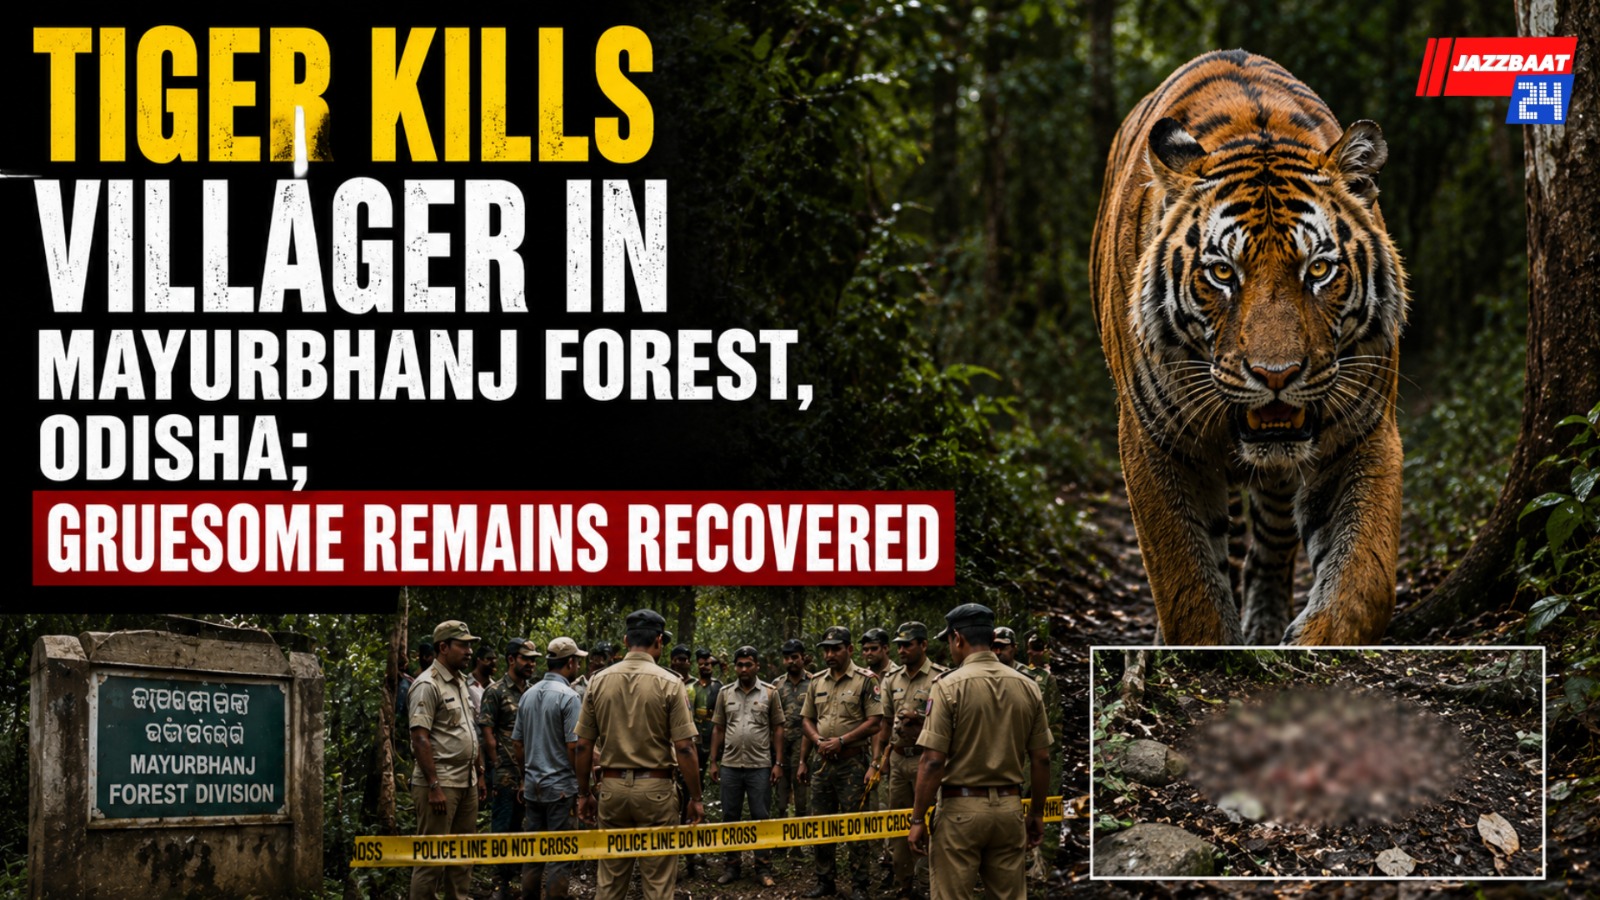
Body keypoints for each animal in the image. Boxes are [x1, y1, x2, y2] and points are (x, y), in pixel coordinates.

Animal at [1089, 49, 1407, 645]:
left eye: (1319, 270)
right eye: (1222, 274)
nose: (1276, 374)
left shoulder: (1364, 431)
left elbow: (1365, 582)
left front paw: (1310, 641)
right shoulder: (1153, 441)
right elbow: (1187, 588)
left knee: (1271, 545)